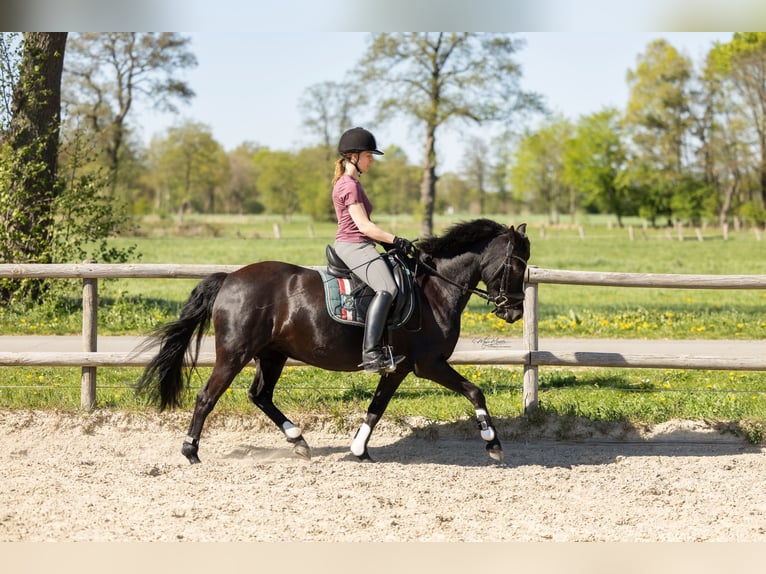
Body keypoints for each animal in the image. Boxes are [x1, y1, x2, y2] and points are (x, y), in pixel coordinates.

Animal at [136, 218, 530, 464]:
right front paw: (493, 444)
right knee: (207, 397)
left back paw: (298, 441)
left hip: (272, 355)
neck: (433, 289)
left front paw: (358, 449)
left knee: (260, 395)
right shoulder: (428, 363)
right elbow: (475, 391)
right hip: (234, 354)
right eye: (517, 265)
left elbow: (376, 407)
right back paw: (190, 451)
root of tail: (230, 279)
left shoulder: (399, 367)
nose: (514, 312)